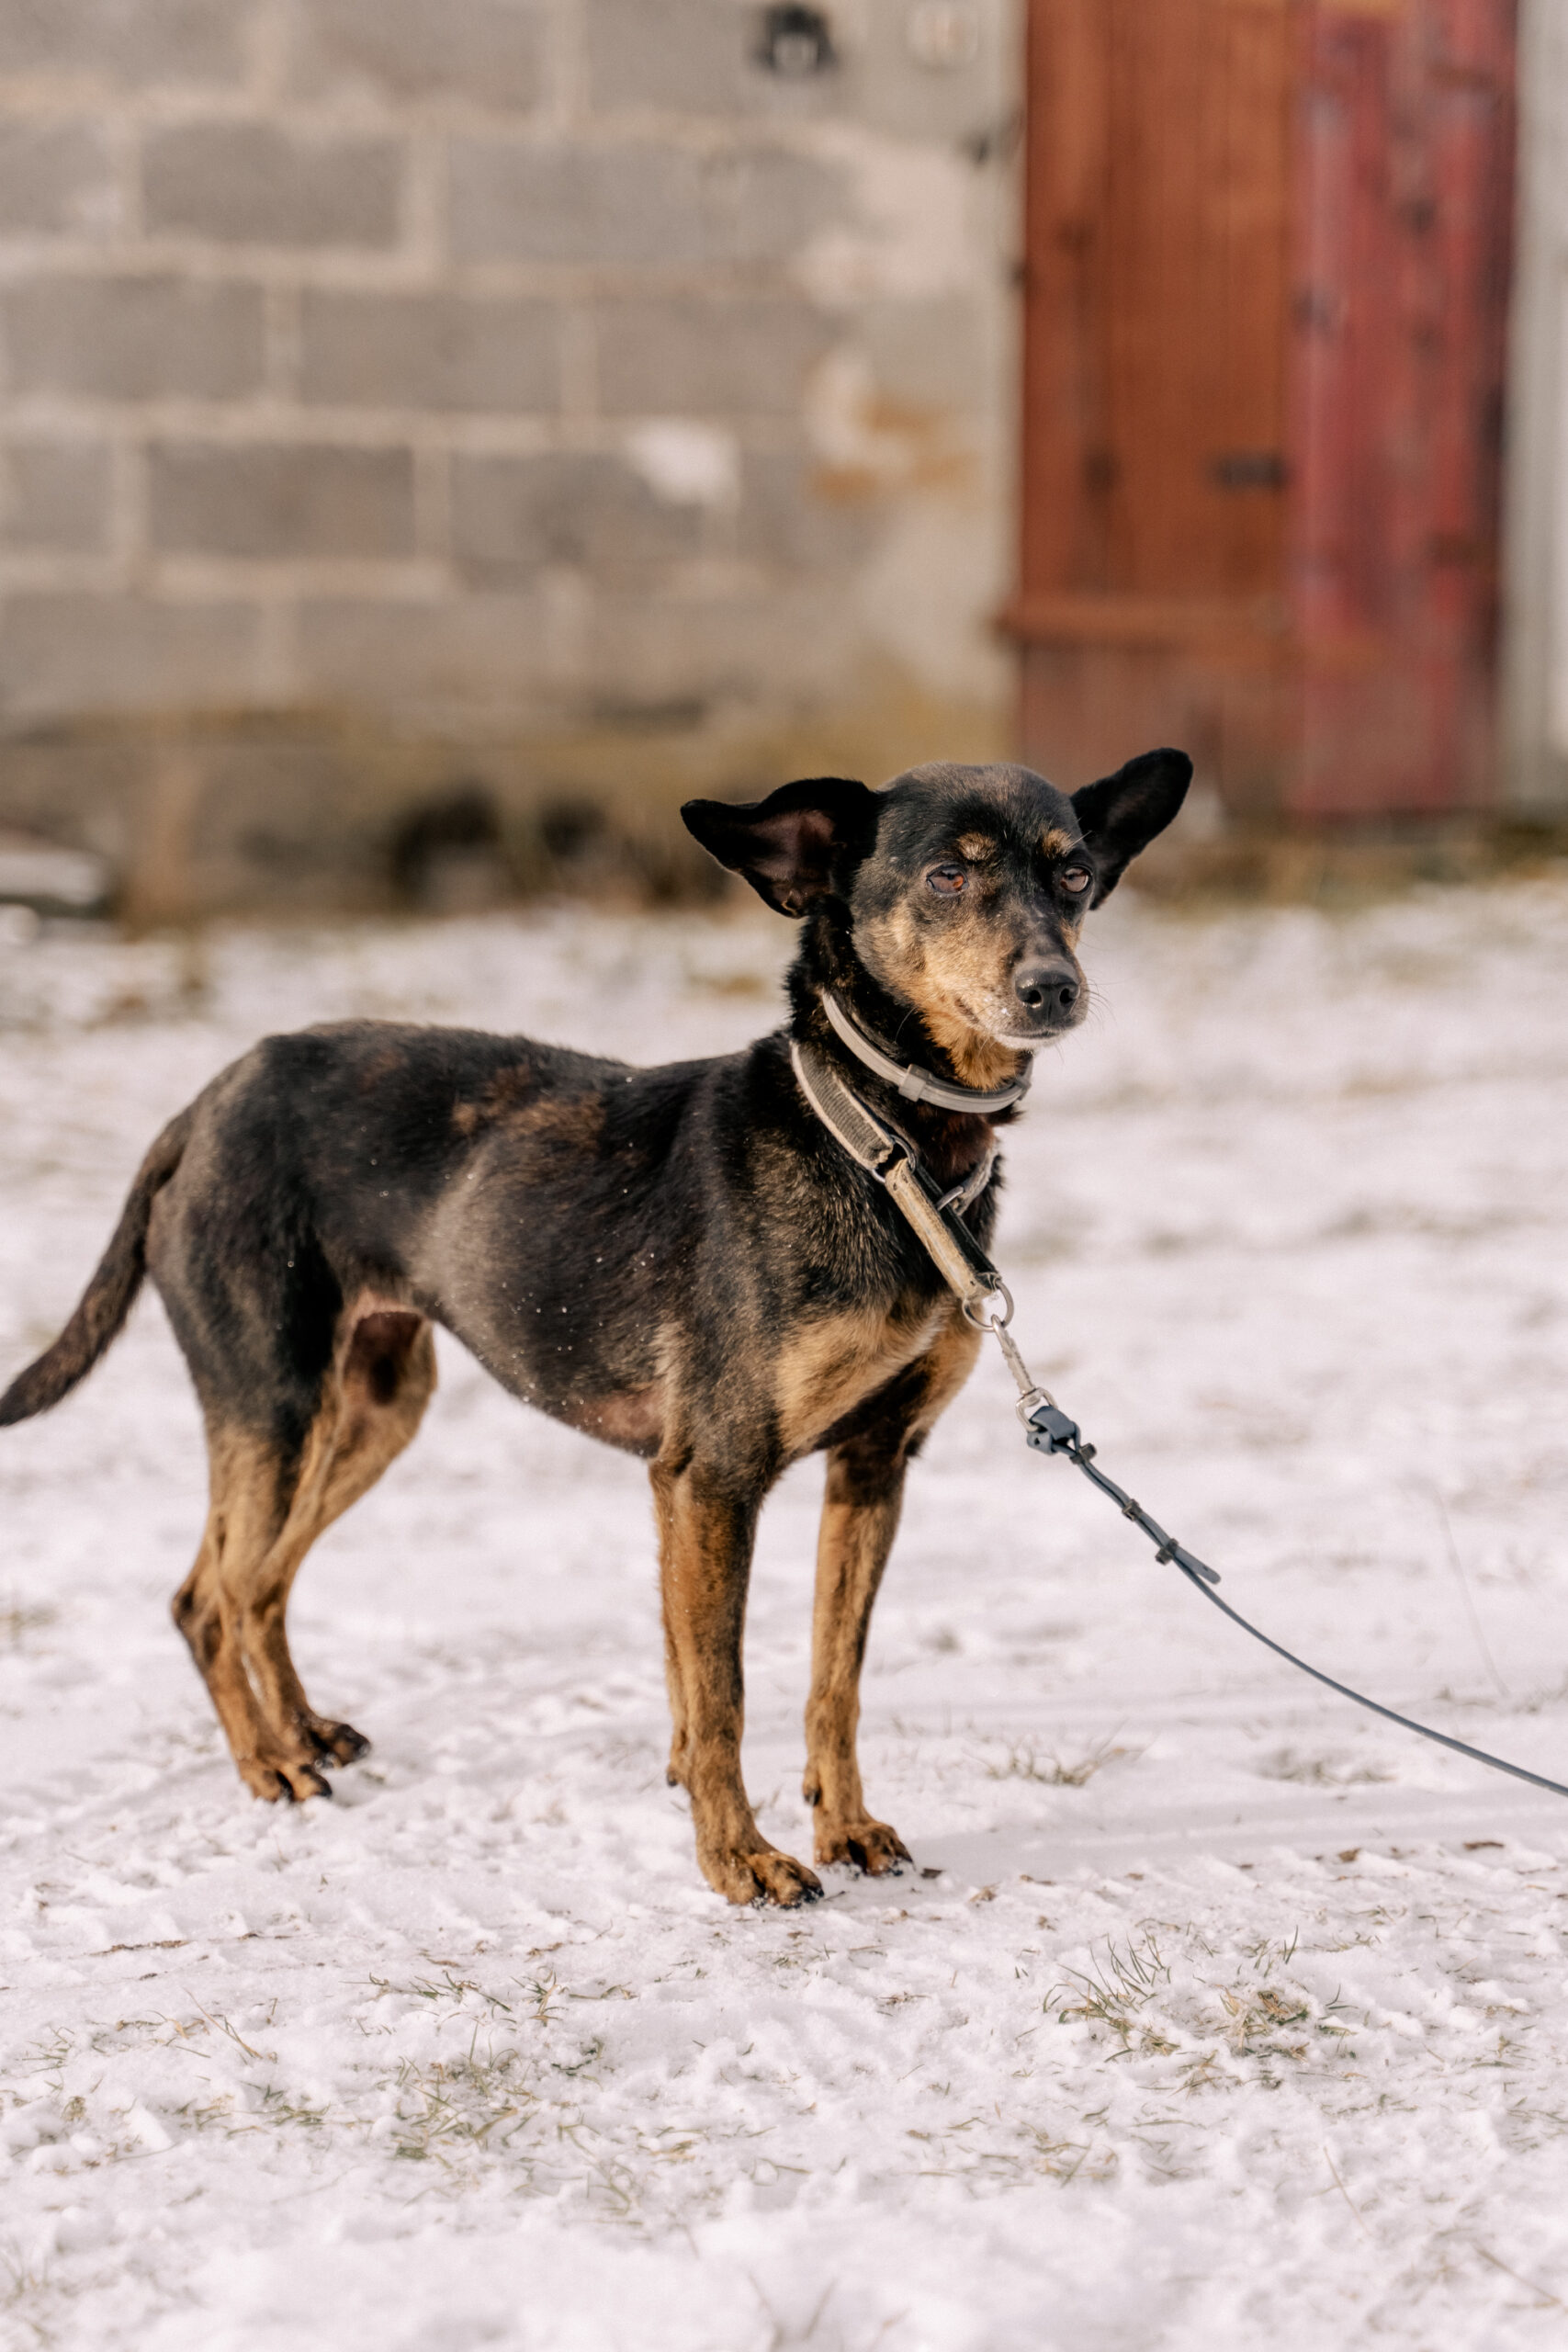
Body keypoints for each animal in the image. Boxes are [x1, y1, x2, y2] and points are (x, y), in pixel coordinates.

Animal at [0, 750, 1189, 1905]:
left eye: (1074, 871)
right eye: (948, 875)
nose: (1055, 988)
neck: (876, 1138)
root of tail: (200, 1106)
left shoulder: (871, 1464)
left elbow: (829, 1679)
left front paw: (844, 1826)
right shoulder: (713, 1476)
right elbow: (722, 1694)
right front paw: (739, 1861)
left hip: (374, 1407)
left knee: (258, 1584)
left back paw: (303, 1731)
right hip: (274, 1400)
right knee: (209, 1596)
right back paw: (269, 1762)